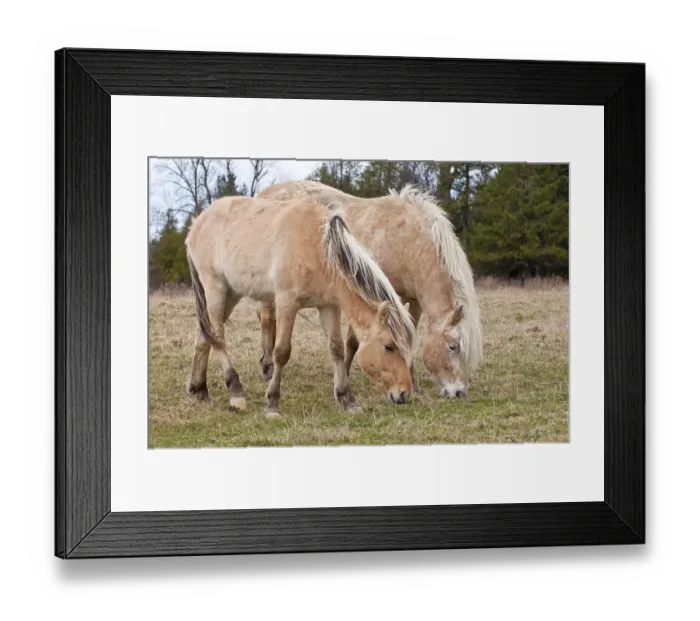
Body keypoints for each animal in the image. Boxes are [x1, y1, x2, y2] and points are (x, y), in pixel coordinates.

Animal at [185, 195, 416, 418]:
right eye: (389, 346)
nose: (404, 393)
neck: (318, 249)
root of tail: (196, 224)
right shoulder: (287, 303)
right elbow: (281, 352)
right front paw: (272, 404)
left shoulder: (329, 307)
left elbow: (337, 349)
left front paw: (347, 400)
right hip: (215, 288)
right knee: (218, 337)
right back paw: (236, 395)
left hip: (231, 293)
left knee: (203, 336)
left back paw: (199, 389)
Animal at [256, 181, 483, 399]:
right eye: (453, 346)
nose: (458, 392)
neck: (406, 241)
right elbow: (352, 342)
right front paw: (345, 377)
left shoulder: (414, 302)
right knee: (267, 319)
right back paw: (268, 367)